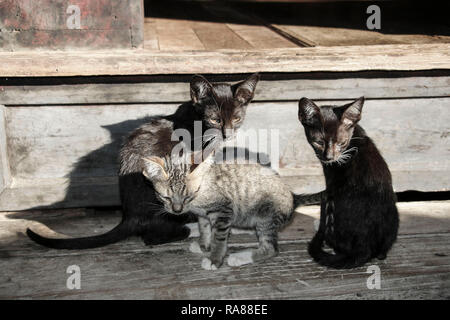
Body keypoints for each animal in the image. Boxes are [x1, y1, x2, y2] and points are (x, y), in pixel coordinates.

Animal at [27, 74, 260, 249]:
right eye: (214, 119)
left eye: (236, 118)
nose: (227, 134)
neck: (196, 122)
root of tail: (128, 216)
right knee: (153, 236)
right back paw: (192, 228)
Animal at [142, 150, 320, 270]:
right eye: (166, 197)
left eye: (188, 196)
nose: (177, 210)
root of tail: (292, 196)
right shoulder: (204, 215)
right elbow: (204, 228)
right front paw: (203, 245)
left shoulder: (223, 210)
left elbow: (219, 238)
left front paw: (214, 259)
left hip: (266, 215)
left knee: (271, 249)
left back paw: (241, 257)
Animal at [298, 96, 398, 268]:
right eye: (319, 142)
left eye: (341, 143)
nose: (328, 157)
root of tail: (364, 247)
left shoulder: (329, 183)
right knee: (382, 252)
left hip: (330, 202)